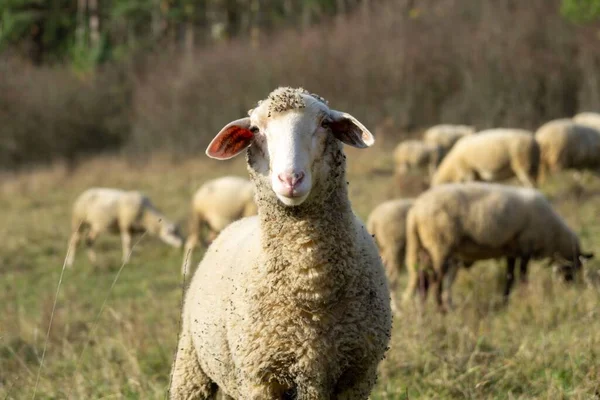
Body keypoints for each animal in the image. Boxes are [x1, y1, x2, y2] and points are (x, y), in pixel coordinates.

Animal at [169, 86, 394, 398]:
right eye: (254, 129)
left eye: (325, 123)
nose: (290, 179)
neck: (311, 285)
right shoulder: (261, 378)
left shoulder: (358, 375)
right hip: (191, 365)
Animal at [400, 181, 592, 310]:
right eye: (574, 267)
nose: (570, 287)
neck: (553, 235)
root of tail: (415, 212)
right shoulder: (526, 246)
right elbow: (523, 277)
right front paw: (524, 297)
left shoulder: (512, 250)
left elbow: (509, 277)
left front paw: (505, 302)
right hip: (440, 244)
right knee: (436, 280)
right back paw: (440, 309)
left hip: (426, 247)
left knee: (423, 279)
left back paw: (425, 309)